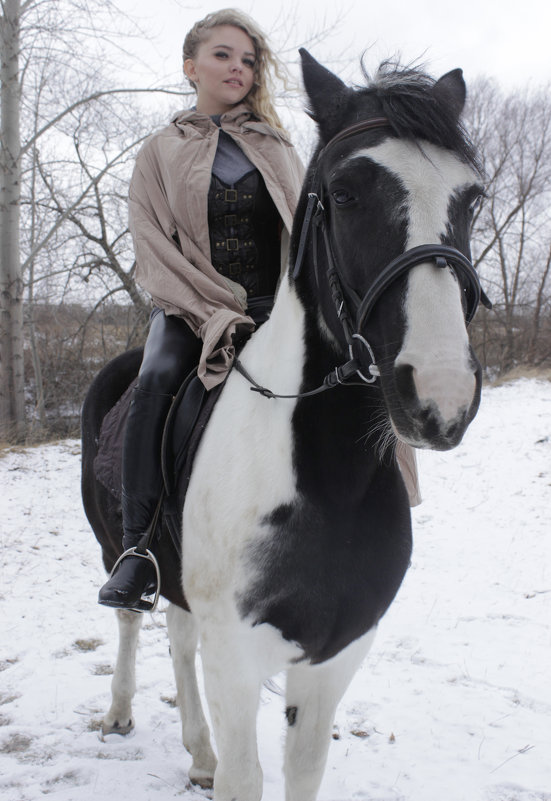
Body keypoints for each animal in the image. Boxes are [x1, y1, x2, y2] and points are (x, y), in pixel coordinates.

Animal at [81, 51, 488, 800]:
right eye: (345, 193)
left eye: (470, 198)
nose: (440, 393)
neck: (327, 483)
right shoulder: (238, 659)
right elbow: (246, 777)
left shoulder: (335, 655)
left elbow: (303, 769)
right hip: (116, 549)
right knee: (130, 617)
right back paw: (121, 712)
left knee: (178, 635)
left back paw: (198, 754)